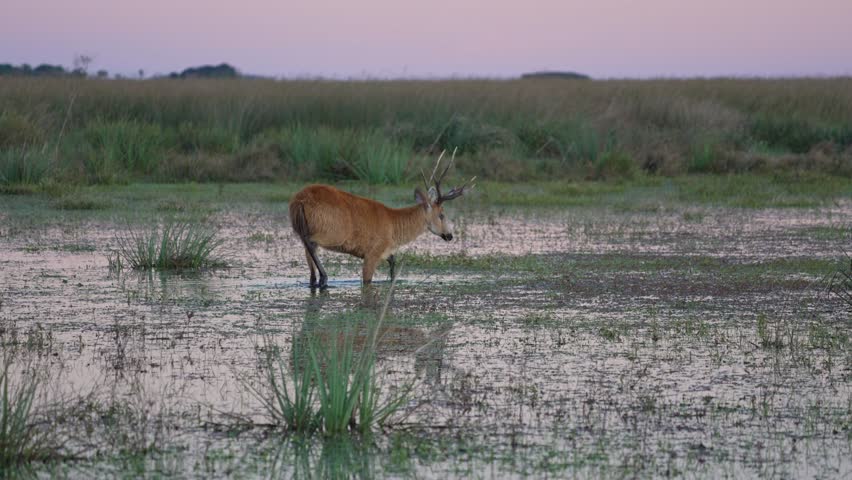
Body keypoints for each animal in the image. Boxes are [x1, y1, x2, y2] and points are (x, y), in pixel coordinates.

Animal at [289, 150, 475, 289]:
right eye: (441, 214)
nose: (449, 235)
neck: (393, 224)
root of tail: (299, 201)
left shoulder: (382, 251)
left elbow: (393, 260)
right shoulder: (373, 251)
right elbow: (367, 280)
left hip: (302, 230)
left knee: (309, 263)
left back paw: (316, 281)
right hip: (329, 232)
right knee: (312, 244)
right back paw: (325, 278)